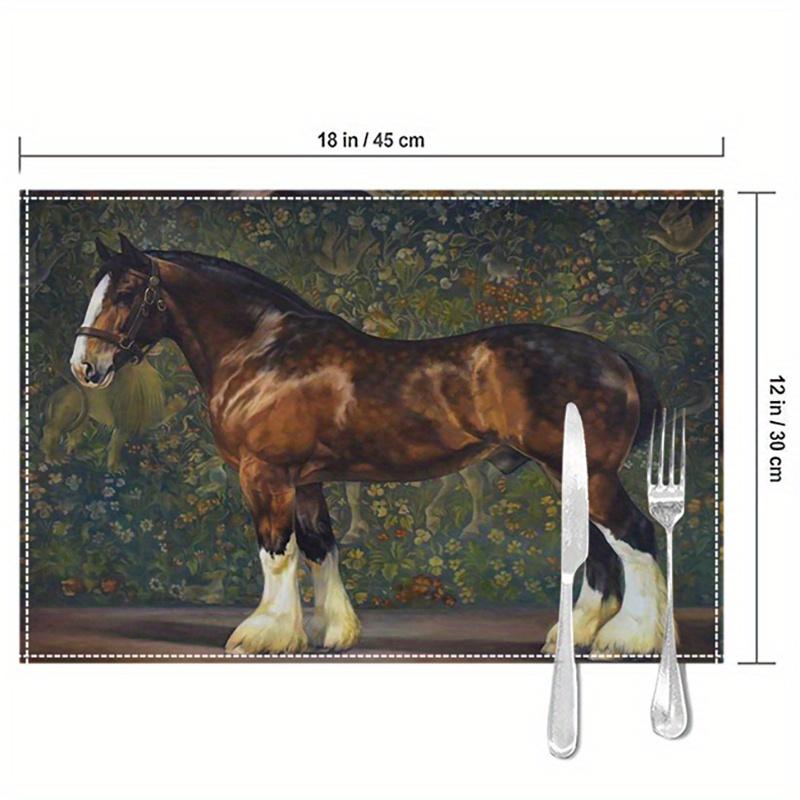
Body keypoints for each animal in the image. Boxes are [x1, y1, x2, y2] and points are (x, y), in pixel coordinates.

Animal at [70, 234, 665, 655]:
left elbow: (276, 552)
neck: (263, 351)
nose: (85, 367)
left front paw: (264, 633)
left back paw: (628, 639)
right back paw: (575, 637)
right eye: (95, 292)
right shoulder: (306, 481)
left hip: (587, 475)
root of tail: (613, 358)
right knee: (601, 554)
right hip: (570, 476)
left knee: (635, 537)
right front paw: (331, 631)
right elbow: (318, 547)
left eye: (127, 293)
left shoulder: (266, 474)